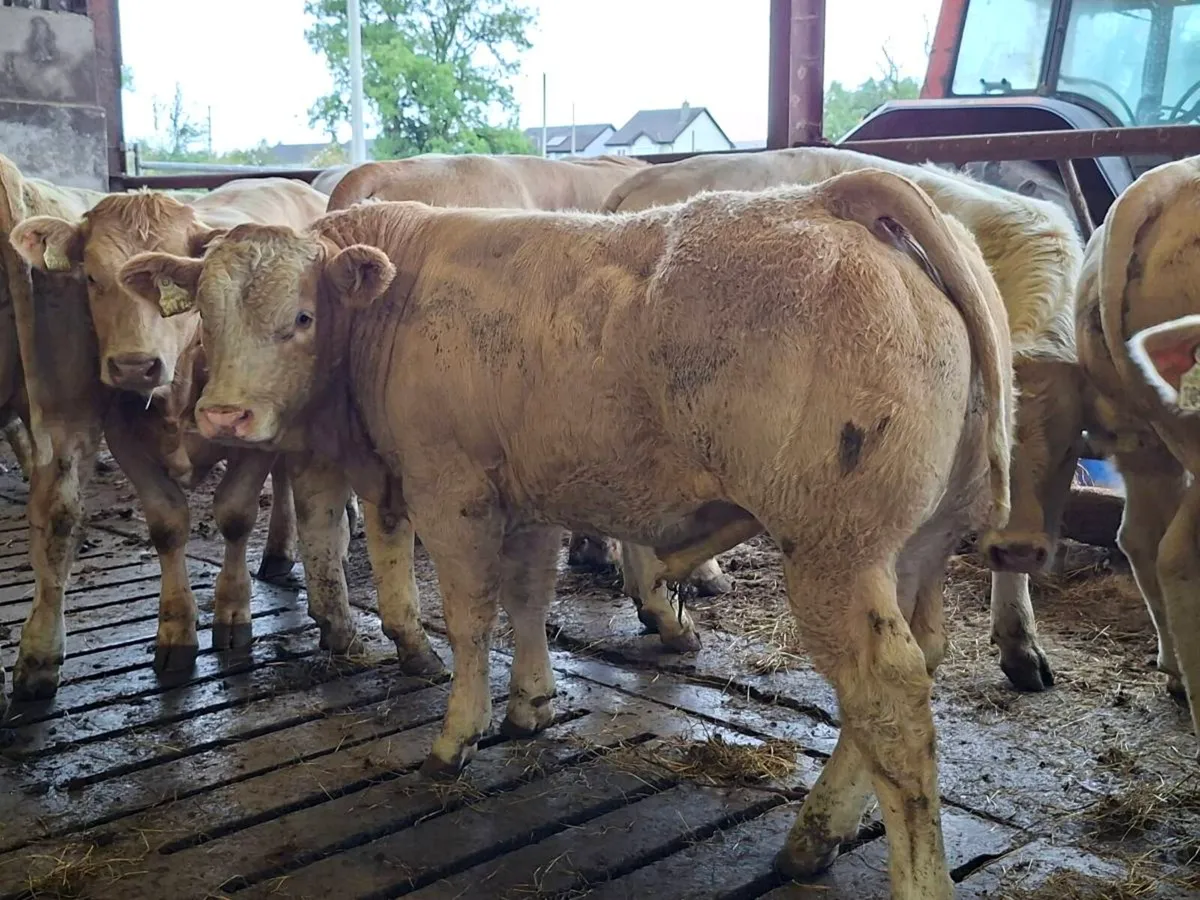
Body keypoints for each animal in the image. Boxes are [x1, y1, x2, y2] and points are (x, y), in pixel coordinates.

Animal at [4, 176, 360, 703]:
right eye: (92, 278)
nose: (134, 365)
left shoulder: (250, 438)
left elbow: (235, 514)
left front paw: (233, 610)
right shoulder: (125, 435)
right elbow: (167, 524)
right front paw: (176, 629)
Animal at [120, 168, 1014, 899]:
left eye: (303, 316)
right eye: (204, 318)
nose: (223, 416)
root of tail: (837, 197)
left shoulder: (453, 489)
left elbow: (472, 616)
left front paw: (457, 735)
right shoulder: (533, 495)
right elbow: (527, 598)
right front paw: (531, 705)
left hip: (835, 551)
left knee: (890, 699)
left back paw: (897, 872)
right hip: (917, 548)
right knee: (913, 669)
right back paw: (810, 839)